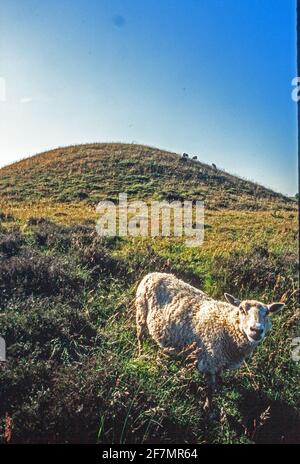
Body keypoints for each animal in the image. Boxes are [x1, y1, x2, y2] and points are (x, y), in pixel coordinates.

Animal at [135, 272, 284, 410]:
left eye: (267, 313)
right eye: (241, 309)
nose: (256, 330)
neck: (227, 325)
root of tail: (154, 273)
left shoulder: (220, 361)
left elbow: (217, 381)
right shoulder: (210, 361)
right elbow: (210, 388)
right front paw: (208, 407)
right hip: (141, 311)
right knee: (140, 336)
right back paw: (141, 355)